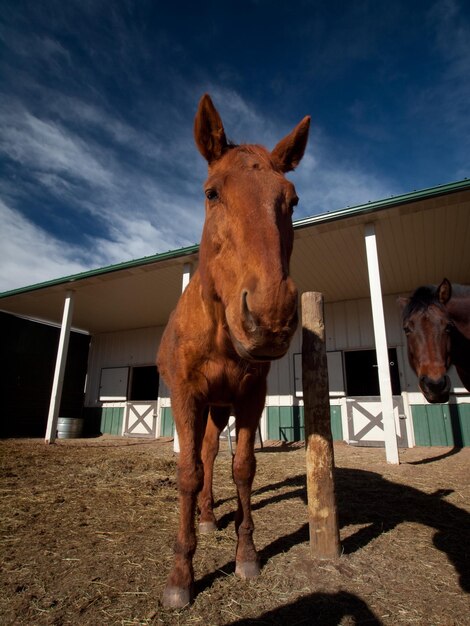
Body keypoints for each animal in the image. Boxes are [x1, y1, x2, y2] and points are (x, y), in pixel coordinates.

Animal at [158, 94, 310, 604]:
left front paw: (246, 555)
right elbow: (186, 472)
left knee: (211, 455)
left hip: (219, 407)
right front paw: (180, 576)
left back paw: (209, 517)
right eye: (212, 193)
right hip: (205, 404)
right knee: (201, 460)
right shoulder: (186, 395)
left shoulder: (249, 398)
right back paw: (203, 519)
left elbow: (243, 468)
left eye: (291, 200)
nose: (270, 317)